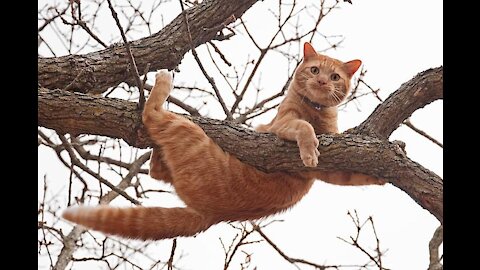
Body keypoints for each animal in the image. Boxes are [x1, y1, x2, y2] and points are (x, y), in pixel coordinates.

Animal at [63, 42, 384, 240]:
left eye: (335, 76)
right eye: (315, 70)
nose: (322, 82)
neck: (316, 110)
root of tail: (210, 216)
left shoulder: (331, 158)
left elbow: (349, 174)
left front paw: (379, 175)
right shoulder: (280, 124)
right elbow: (304, 127)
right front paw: (309, 150)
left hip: (185, 136)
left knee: (154, 142)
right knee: (154, 141)